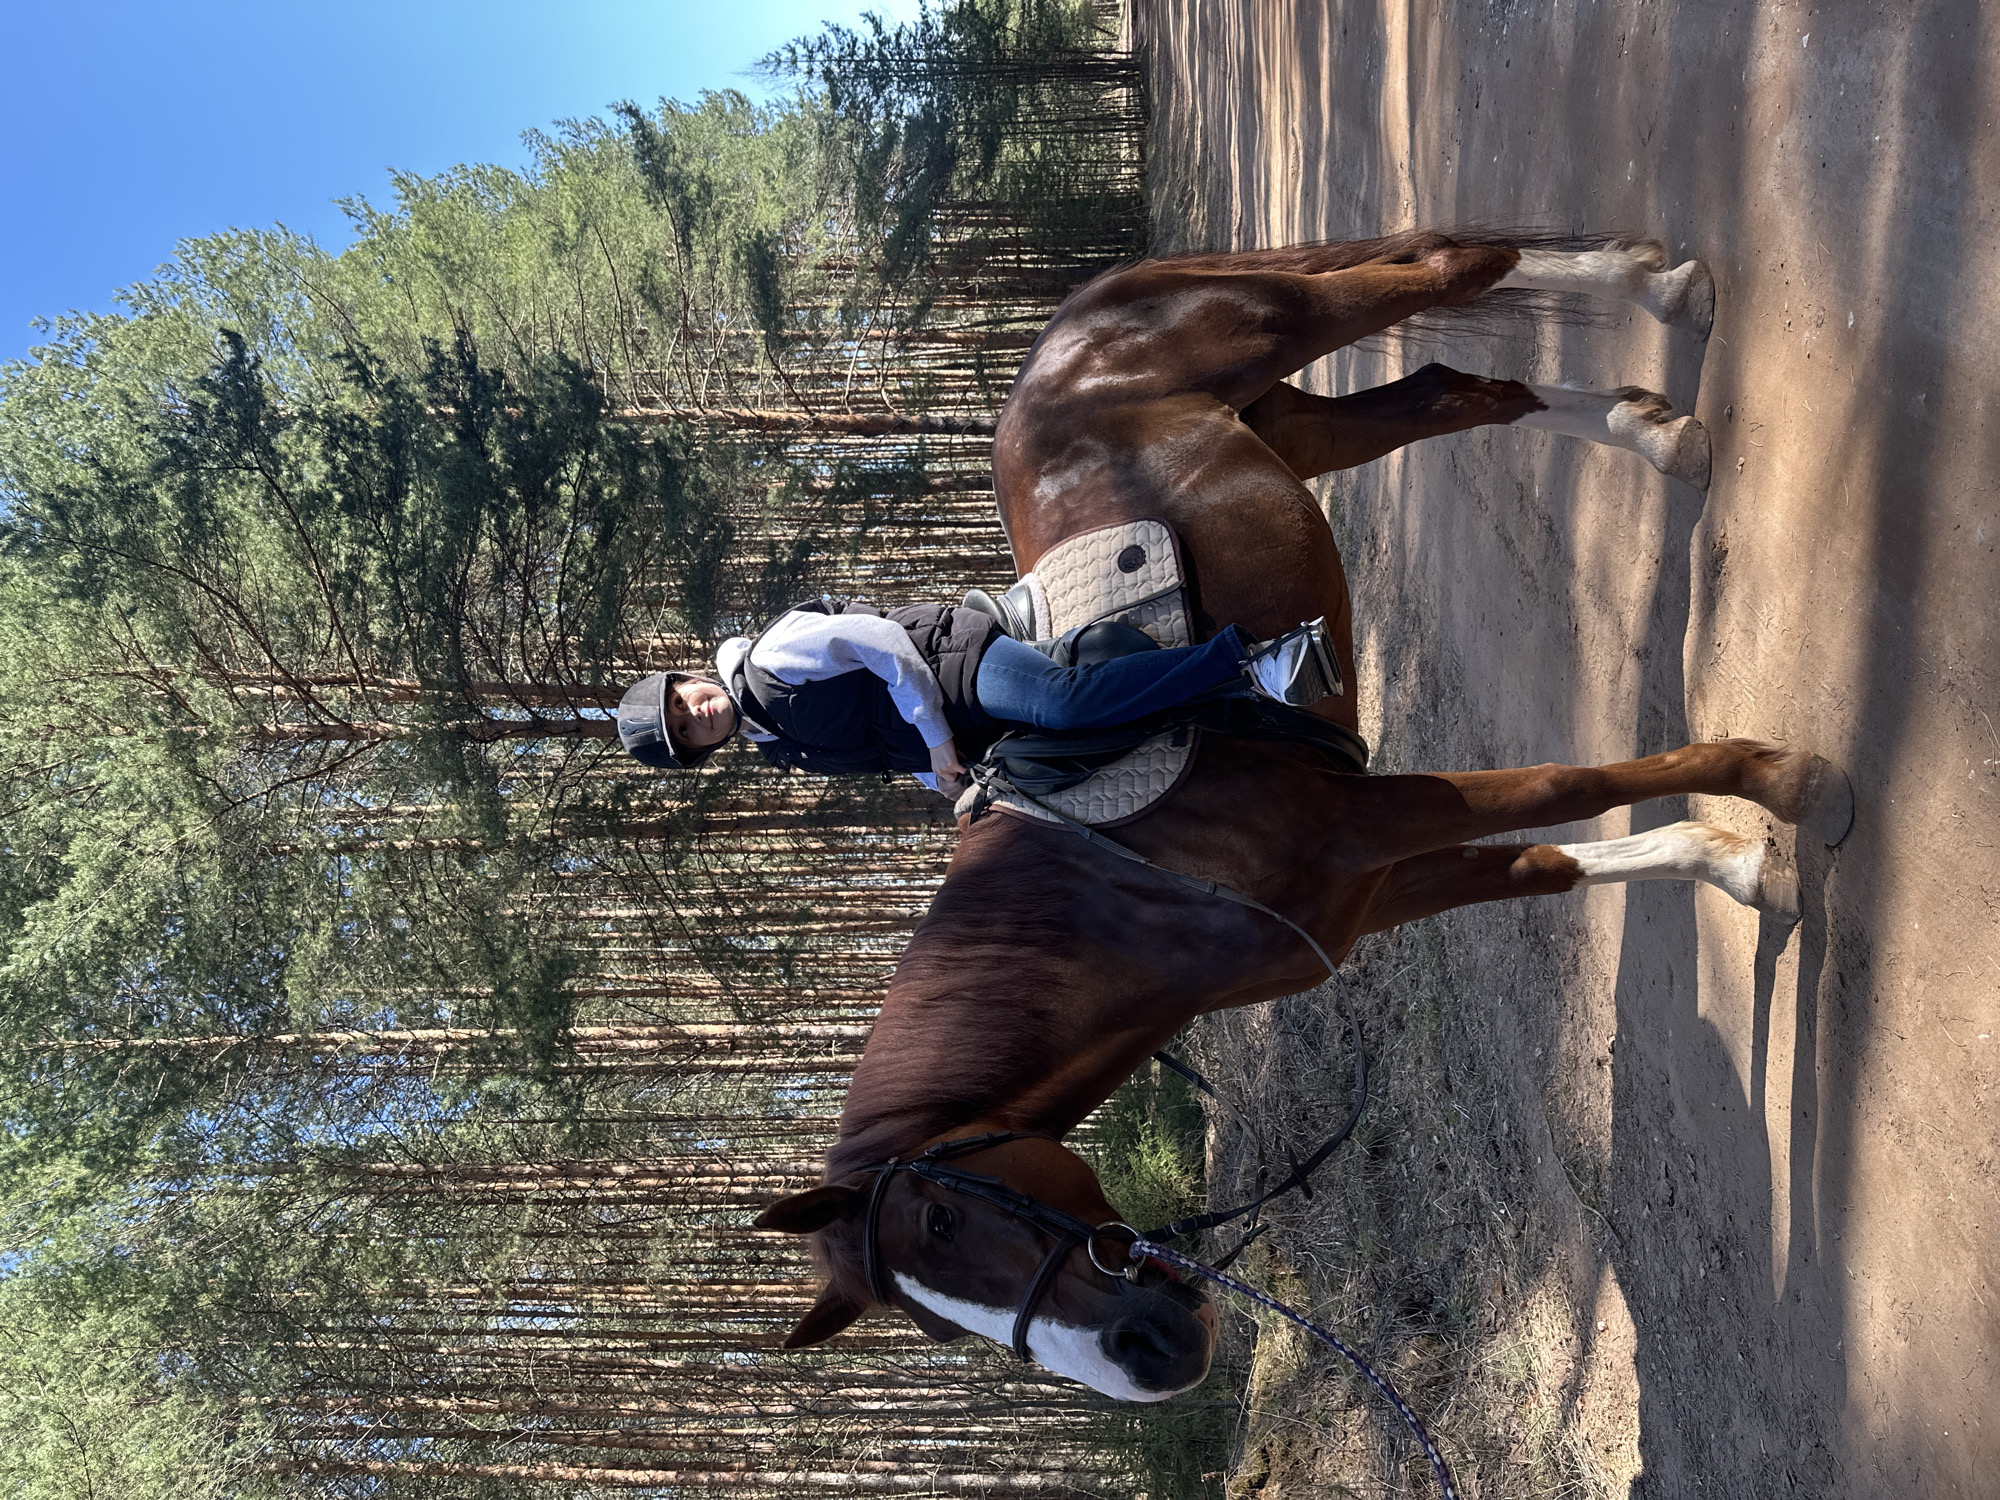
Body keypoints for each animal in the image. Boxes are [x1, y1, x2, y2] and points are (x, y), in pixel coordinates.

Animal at [752, 231, 1853, 1402]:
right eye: (932, 1325)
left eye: (942, 1220)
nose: (1149, 1358)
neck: (1120, 892)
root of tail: (1073, 329)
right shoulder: (1367, 890)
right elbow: (1550, 862)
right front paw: (1739, 867)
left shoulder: (1375, 822)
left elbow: (1576, 786)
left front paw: (1789, 786)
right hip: (1292, 425)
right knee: (1452, 393)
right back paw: (1659, 429)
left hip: (1289, 322)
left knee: (1455, 265)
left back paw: (1662, 295)